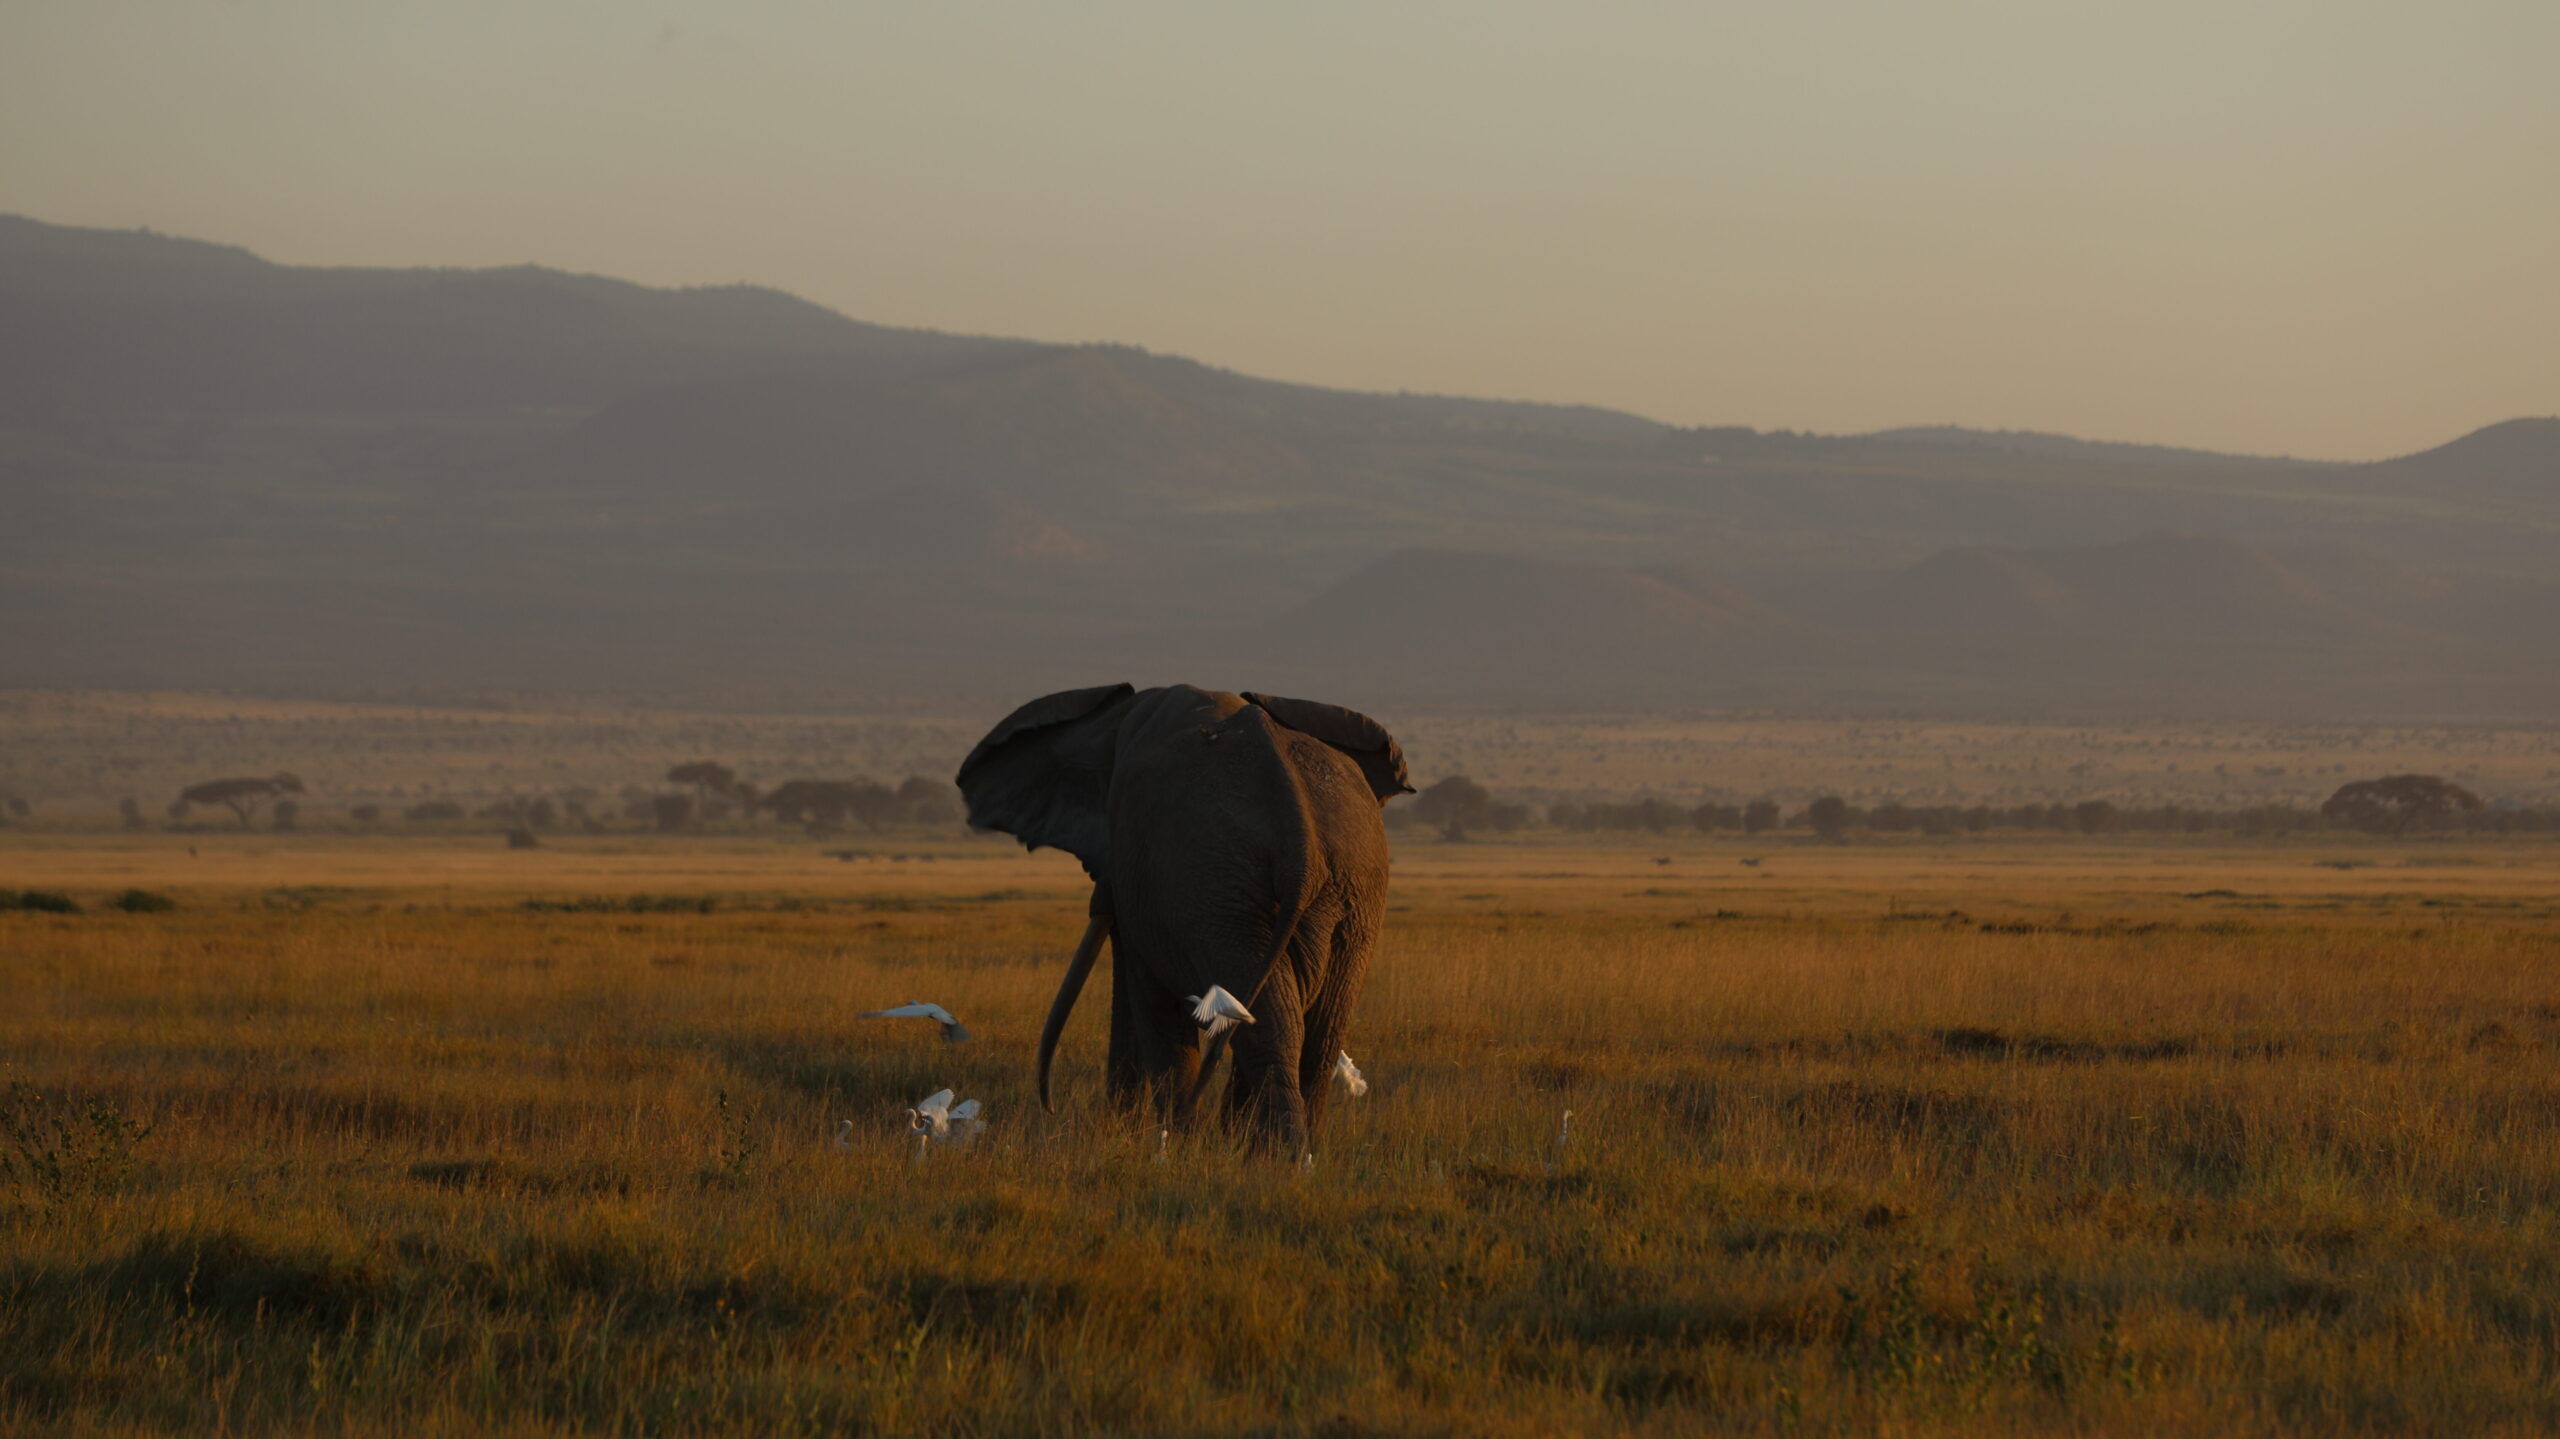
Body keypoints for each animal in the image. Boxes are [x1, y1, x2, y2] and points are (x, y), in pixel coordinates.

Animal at [957, 681, 1413, 1141]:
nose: (1049, 1108)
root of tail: (1299, 835)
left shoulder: (1142, 873)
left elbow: (1148, 1000)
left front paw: (1161, 1142)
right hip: (1346, 891)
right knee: (1314, 1029)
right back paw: (1281, 1149)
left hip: (1222, 891)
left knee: (1270, 1024)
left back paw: (1253, 1147)